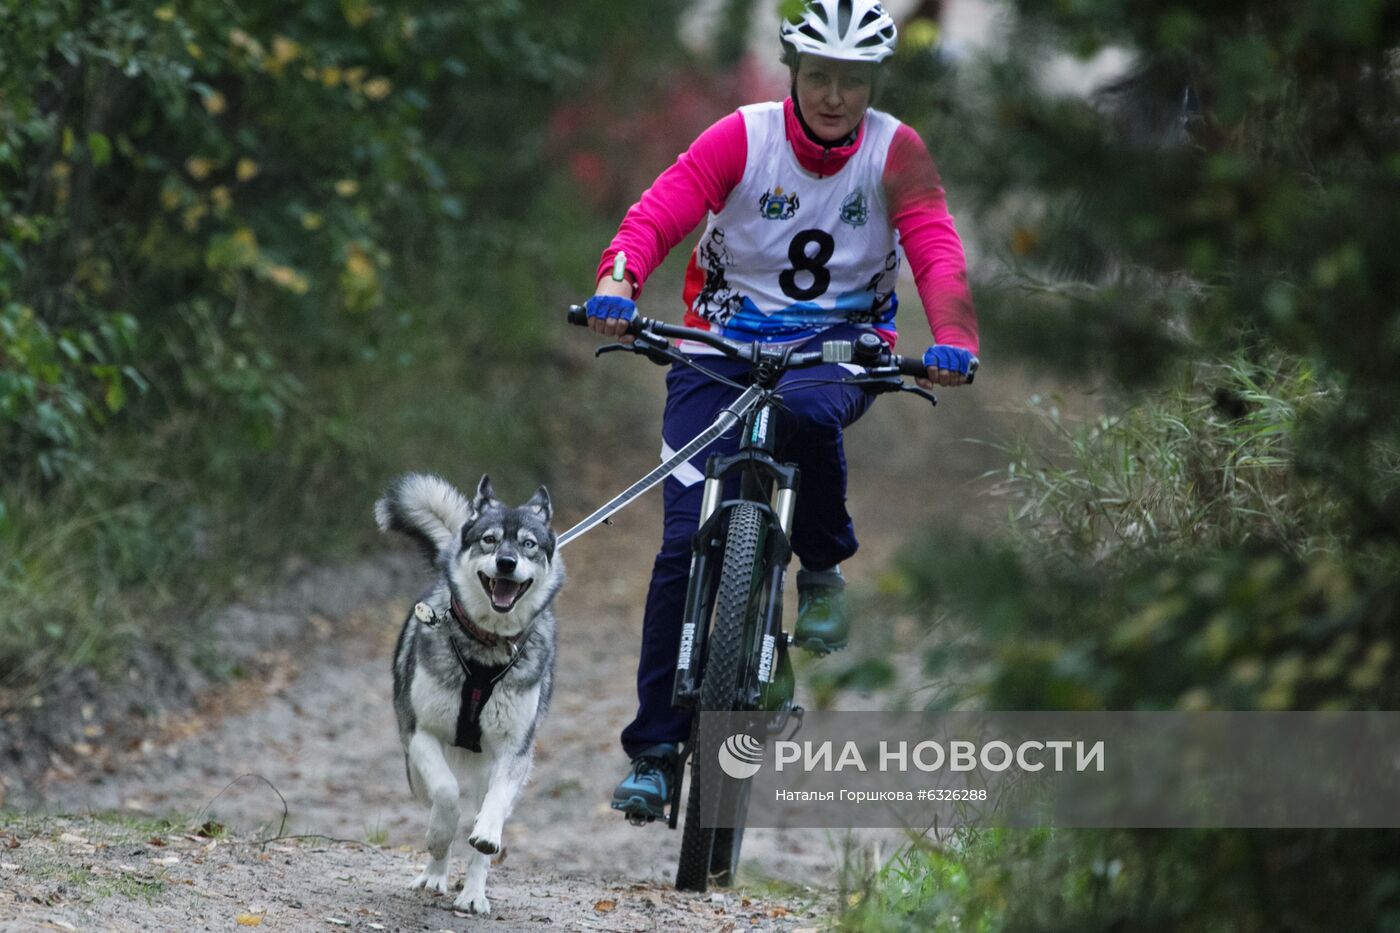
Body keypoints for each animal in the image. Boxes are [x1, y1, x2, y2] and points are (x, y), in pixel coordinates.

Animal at [380, 473, 565, 907]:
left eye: (528, 544)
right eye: (490, 540)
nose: (506, 563)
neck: (487, 650)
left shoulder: (516, 750)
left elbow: (493, 806)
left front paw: (484, 836)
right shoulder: (420, 734)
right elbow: (446, 794)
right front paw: (437, 838)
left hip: (489, 769)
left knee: (483, 817)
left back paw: (473, 895)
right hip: (414, 769)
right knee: (438, 797)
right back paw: (434, 874)